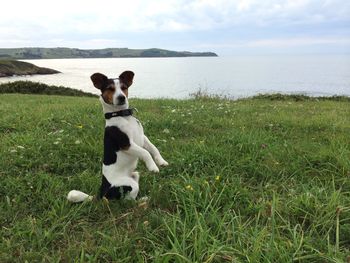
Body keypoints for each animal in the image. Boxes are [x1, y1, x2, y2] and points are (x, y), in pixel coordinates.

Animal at [67, 71, 169, 203]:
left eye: (124, 87)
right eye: (110, 89)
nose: (121, 97)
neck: (123, 116)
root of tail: (102, 194)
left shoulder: (143, 138)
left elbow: (153, 148)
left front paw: (161, 161)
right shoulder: (127, 144)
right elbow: (145, 152)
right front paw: (152, 167)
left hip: (135, 174)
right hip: (130, 185)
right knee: (128, 201)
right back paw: (143, 201)